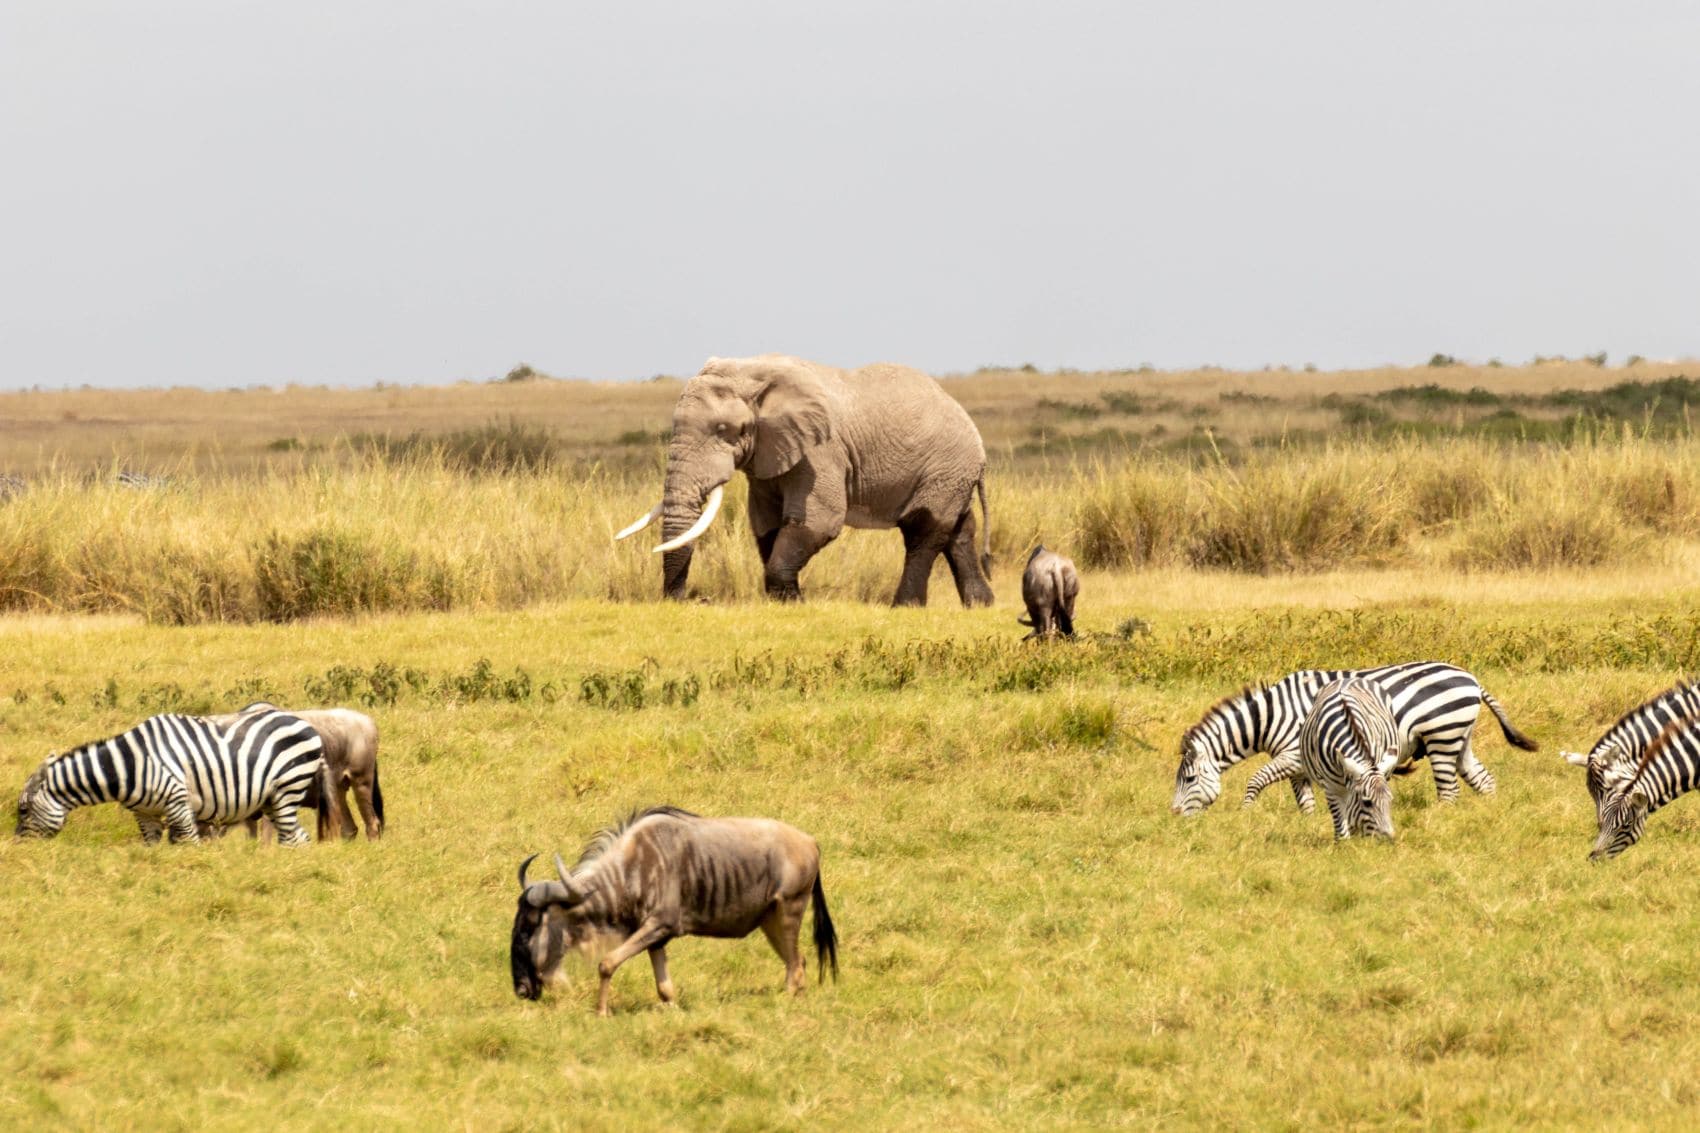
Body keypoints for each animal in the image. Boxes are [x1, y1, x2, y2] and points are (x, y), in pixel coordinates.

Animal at [15, 710, 325, 845]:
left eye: (23, 810)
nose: (18, 847)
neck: (129, 765)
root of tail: (302, 721)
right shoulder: (145, 814)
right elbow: (152, 847)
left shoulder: (178, 803)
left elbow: (189, 843)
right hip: (272, 799)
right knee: (299, 837)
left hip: (288, 788)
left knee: (291, 837)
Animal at [617, 354, 995, 606]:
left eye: (724, 430)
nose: (688, 600)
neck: (753, 373)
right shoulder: (768, 455)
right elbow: (766, 524)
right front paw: (785, 603)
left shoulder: (821, 452)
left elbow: (817, 521)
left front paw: (792, 603)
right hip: (951, 474)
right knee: (958, 530)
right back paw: (979, 605)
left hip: (945, 466)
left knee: (924, 530)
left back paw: (904, 607)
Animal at [1171, 661, 1539, 817]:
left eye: (1188, 779)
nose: (1174, 816)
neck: (1272, 716)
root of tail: (1472, 679)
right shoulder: (1299, 765)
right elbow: (1304, 800)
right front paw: (1308, 823)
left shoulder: (1291, 755)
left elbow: (1255, 780)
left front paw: (1246, 814)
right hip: (1459, 738)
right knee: (1484, 781)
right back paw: (1488, 817)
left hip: (1442, 737)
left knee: (1449, 792)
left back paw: (1440, 821)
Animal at [1299, 677, 1398, 840]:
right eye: (1367, 803)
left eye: (1390, 800)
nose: (1390, 839)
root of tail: (1349, 678)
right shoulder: (1331, 787)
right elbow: (1339, 818)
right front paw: (1343, 842)